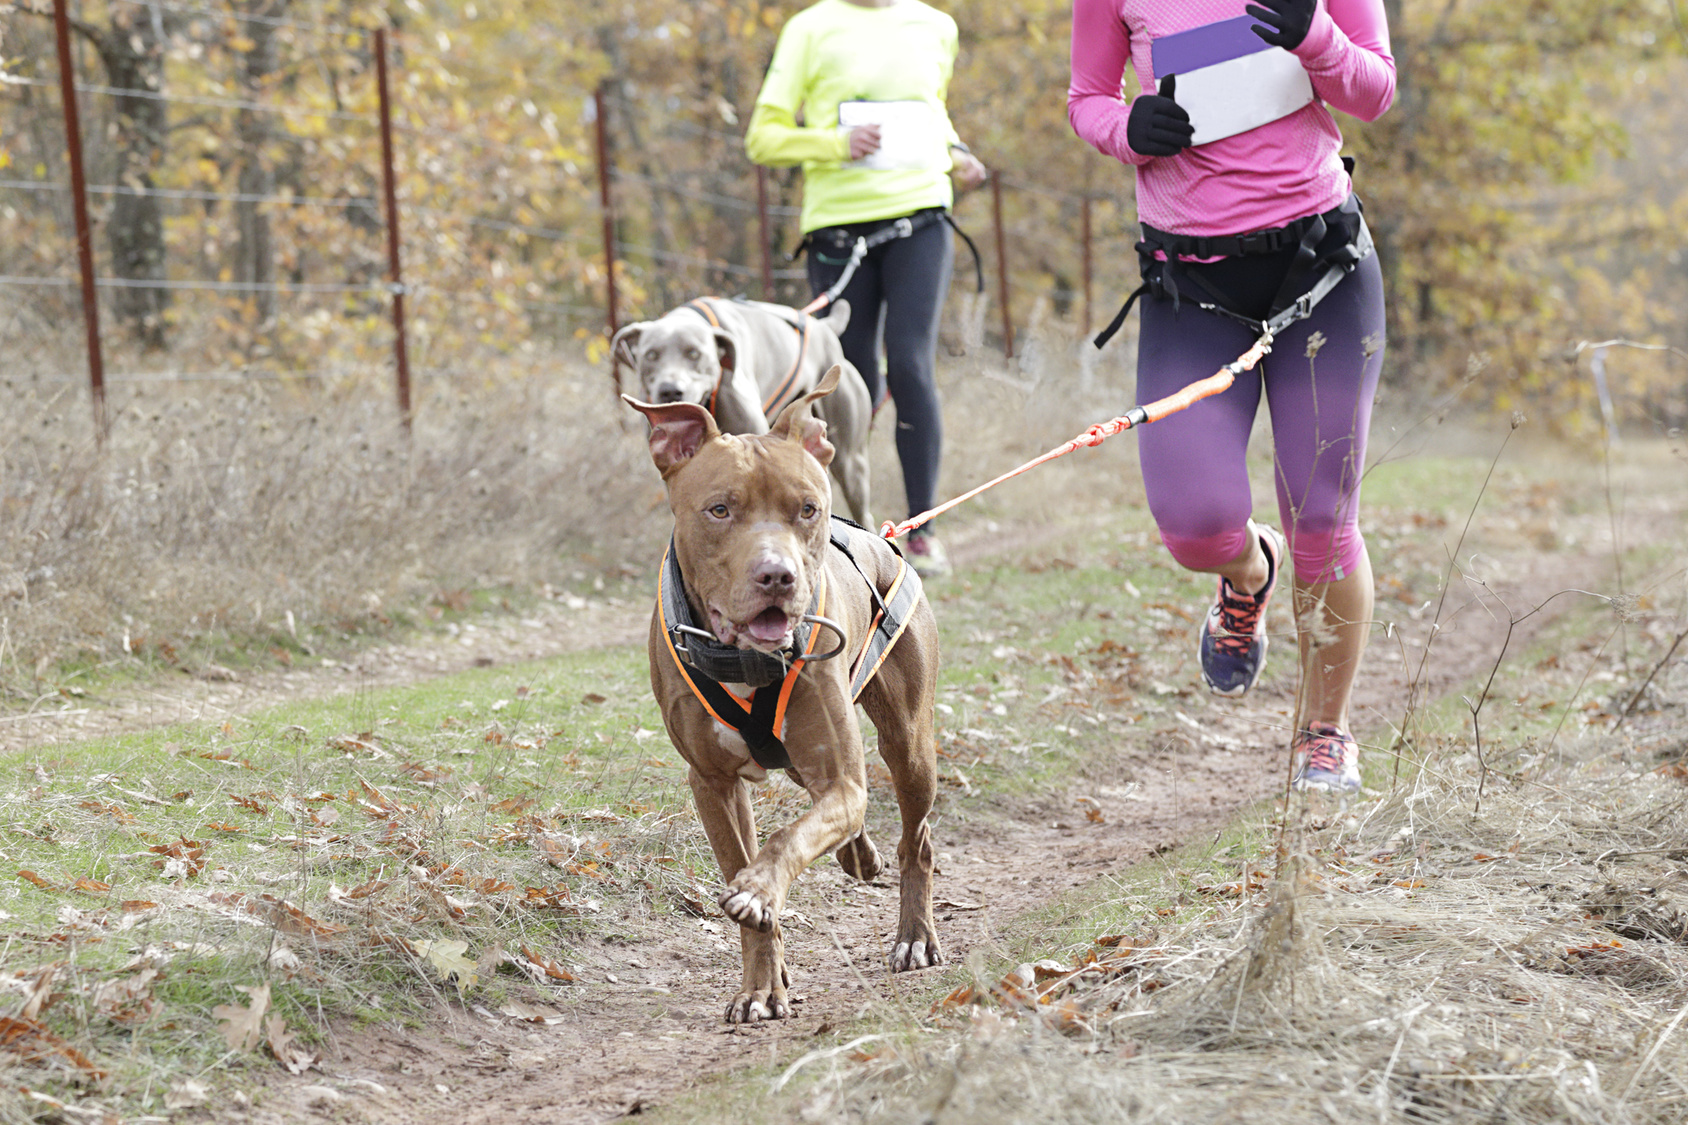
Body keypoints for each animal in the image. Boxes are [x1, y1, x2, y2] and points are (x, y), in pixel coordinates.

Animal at [624, 366, 945, 1013]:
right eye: (719, 509)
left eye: (807, 509)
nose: (777, 576)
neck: (744, 659)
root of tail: (882, 537)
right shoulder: (712, 783)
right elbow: (746, 865)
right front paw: (760, 983)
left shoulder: (842, 779)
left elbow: (788, 837)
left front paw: (760, 893)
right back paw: (857, 854)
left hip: (908, 744)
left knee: (916, 838)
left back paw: (915, 937)